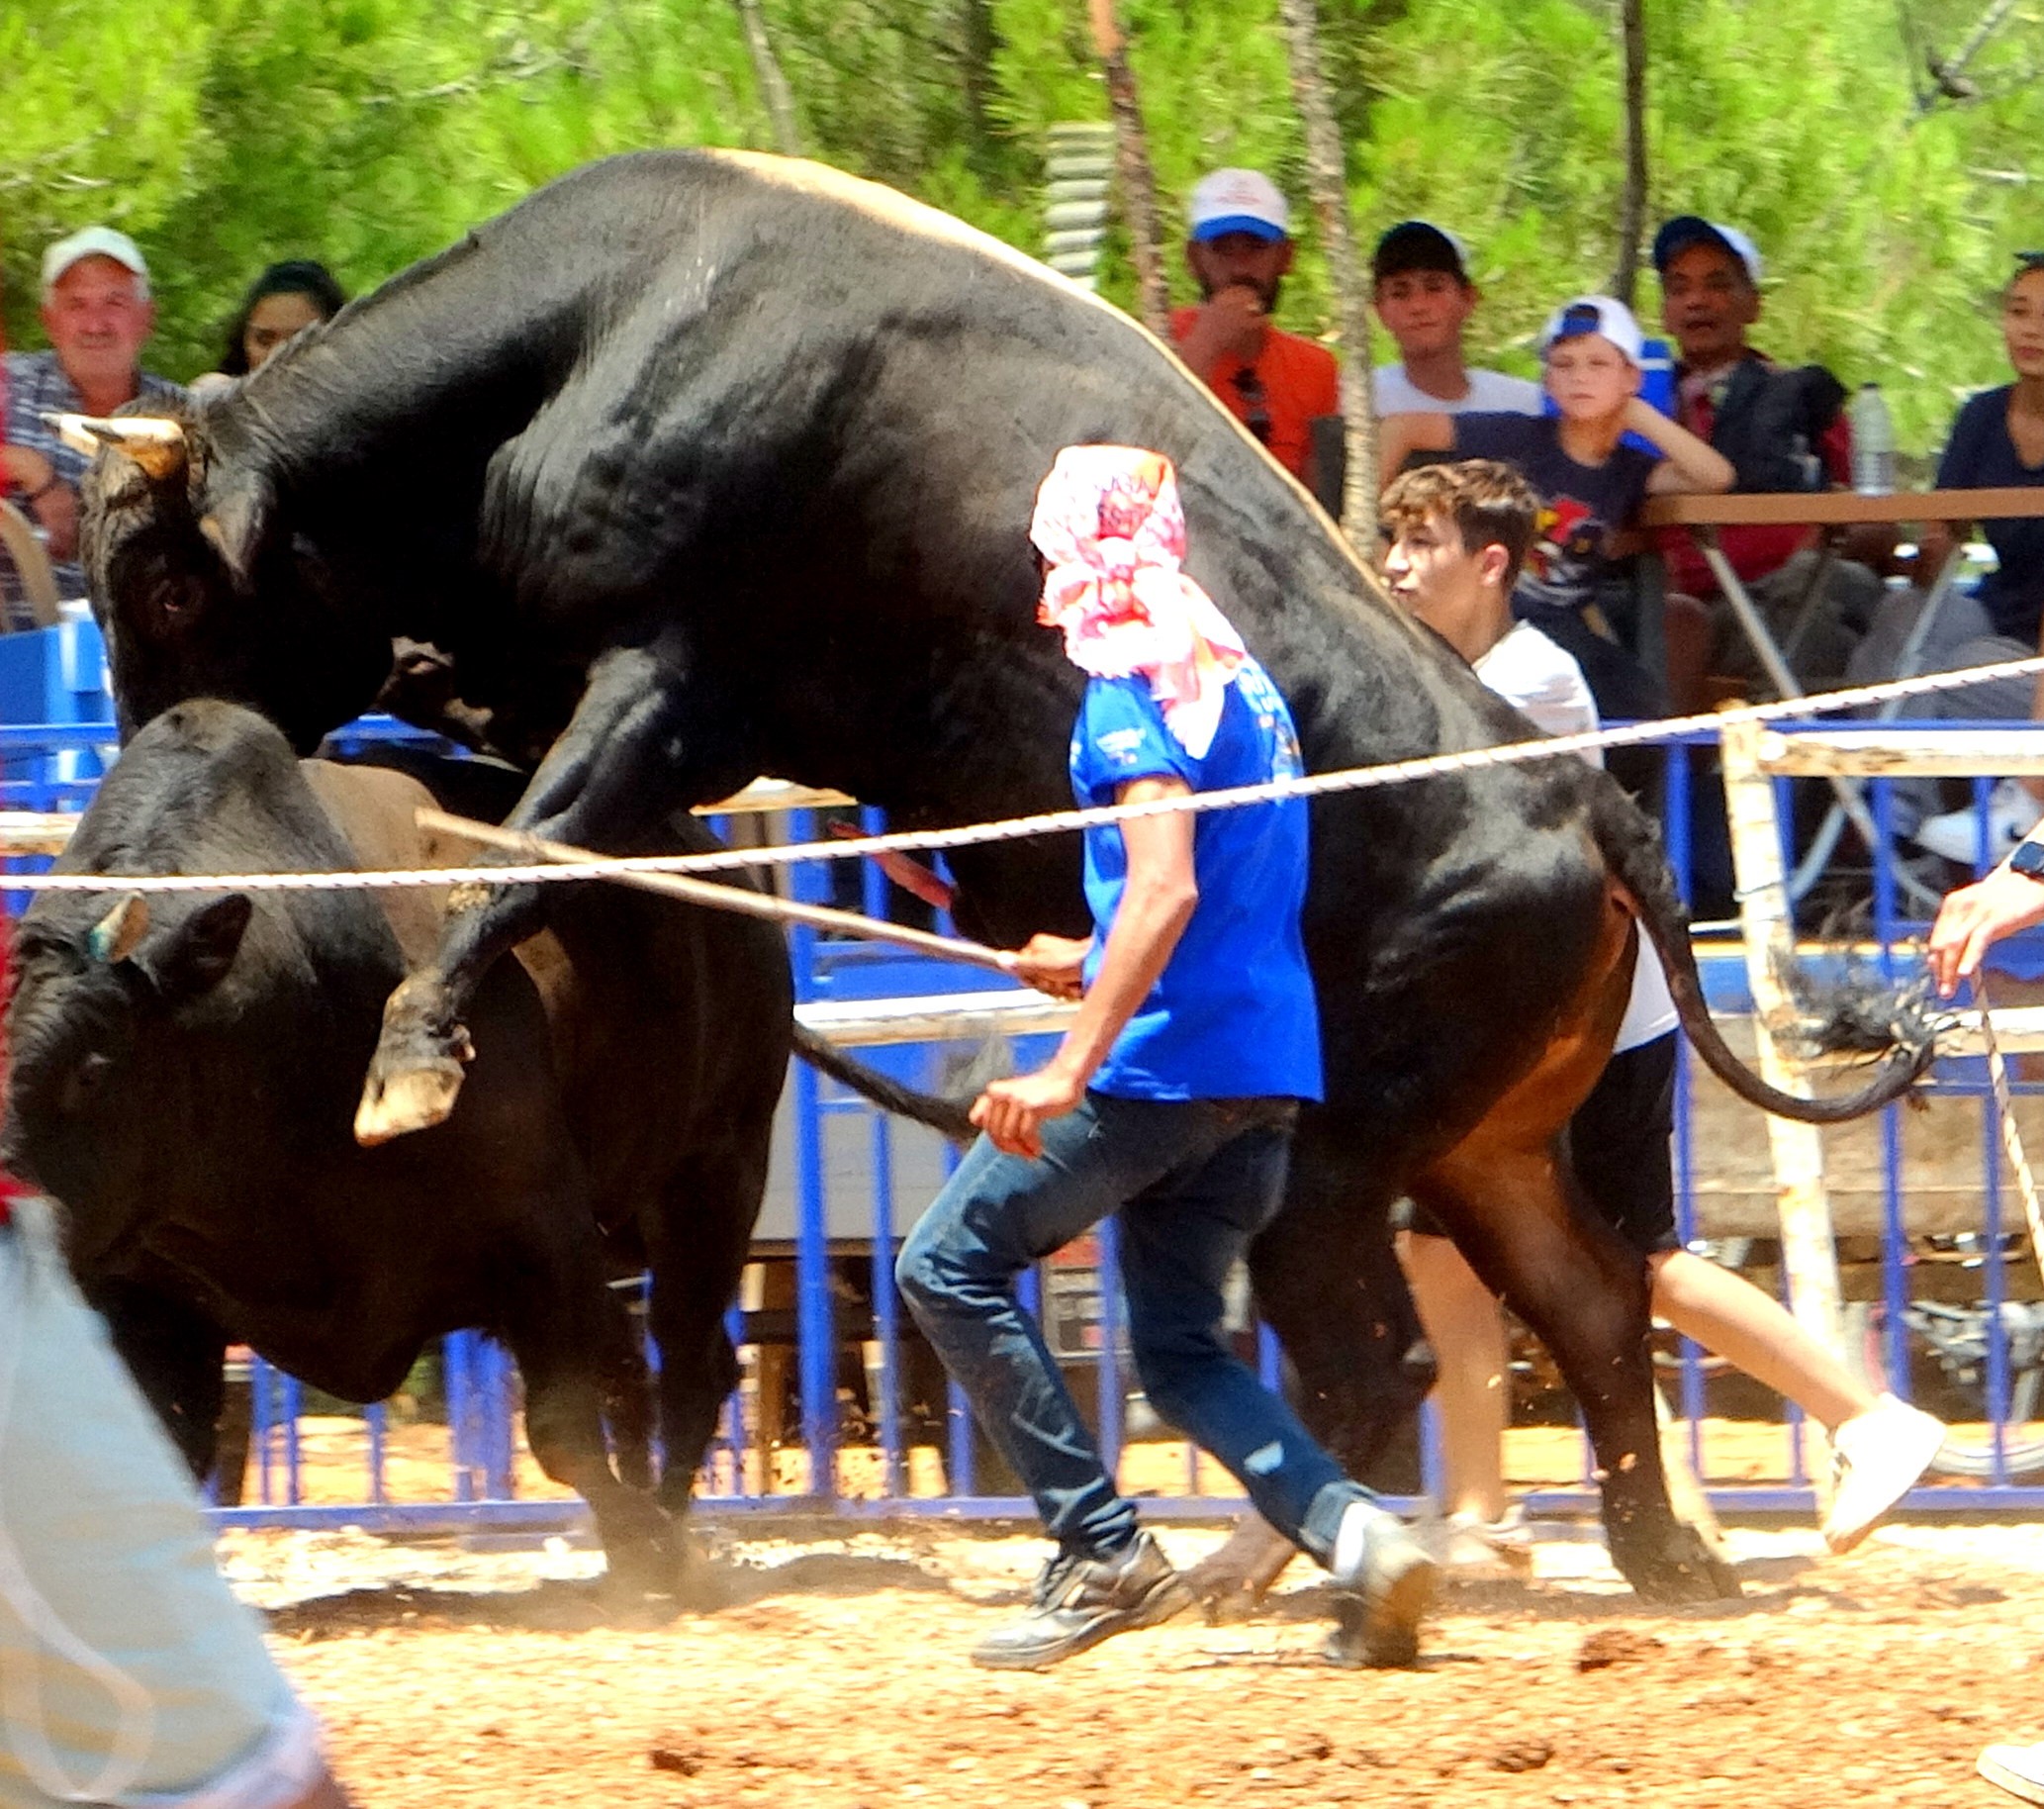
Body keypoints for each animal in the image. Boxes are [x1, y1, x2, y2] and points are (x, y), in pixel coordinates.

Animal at [75, 147, 1929, 1602]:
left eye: (166, 588)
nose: (149, 743)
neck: (610, 325)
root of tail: (1566, 791)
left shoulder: (663, 681)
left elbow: (526, 851)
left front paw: (415, 1049)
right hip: (1485, 1146)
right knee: (1600, 1311)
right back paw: (1661, 1552)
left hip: (1343, 1161)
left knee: (1378, 1356)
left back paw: (1267, 1561)